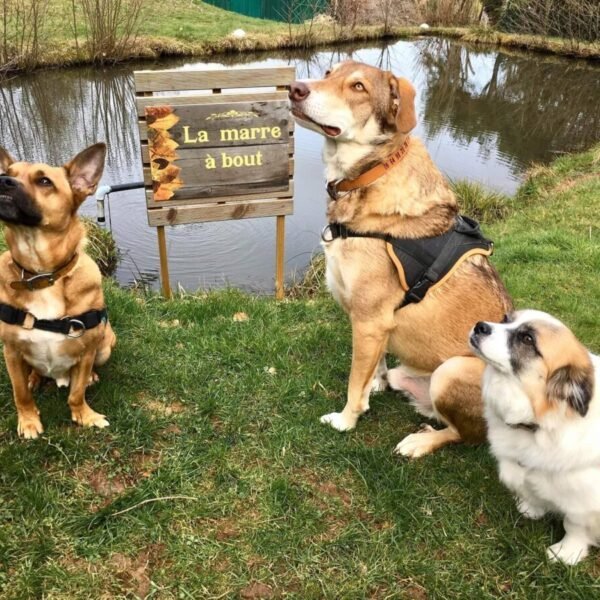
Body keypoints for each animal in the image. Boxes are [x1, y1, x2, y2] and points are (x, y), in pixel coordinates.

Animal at [0, 143, 117, 438]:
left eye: (44, 181)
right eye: (8, 172)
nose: (3, 181)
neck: (42, 276)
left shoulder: (87, 351)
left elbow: (76, 393)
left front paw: (85, 415)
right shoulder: (11, 351)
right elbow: (20, 393)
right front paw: (29, 421)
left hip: (106, 346)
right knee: (33, 374)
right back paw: (34, 378)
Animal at [290, 62, 510, 454]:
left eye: (358, 87)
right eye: (328, 72)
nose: (295, 88)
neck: (370, 175)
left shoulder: (368, 321)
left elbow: (354, 383)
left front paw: (346, 421)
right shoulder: (376, 325)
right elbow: (373, 368)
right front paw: (373, 386)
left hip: (451, 371)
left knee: (464, 434)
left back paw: (420, 442)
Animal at [468, 312, 600, 564]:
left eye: (528, 339)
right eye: (506, 319)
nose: (479, 326)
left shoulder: (583, 500)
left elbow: (574, 526)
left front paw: (566, 553)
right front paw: (531, 508)